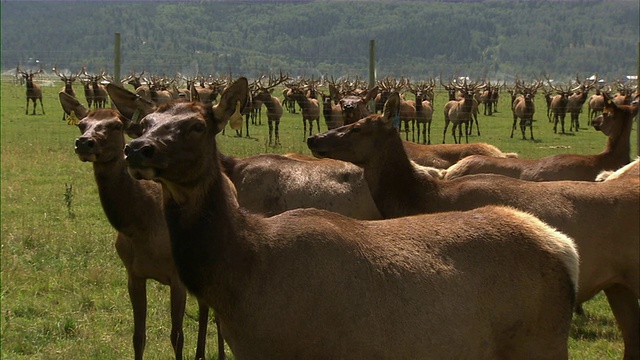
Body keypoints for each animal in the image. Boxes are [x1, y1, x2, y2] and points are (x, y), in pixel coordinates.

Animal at [62, 89, 222, 360]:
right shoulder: (133, 273)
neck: (140, 227)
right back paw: (200, 353)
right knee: (204, 305)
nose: (84, 142)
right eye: (83, 124)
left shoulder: (176, 277)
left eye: (116, 125)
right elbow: (138, 337)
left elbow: (177, 336)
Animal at [124, 79, 580, 360]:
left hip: (539, 343)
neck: (242, 275)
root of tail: (564, 248)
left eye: (197, 126)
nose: (138, 148)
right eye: (145, 122)